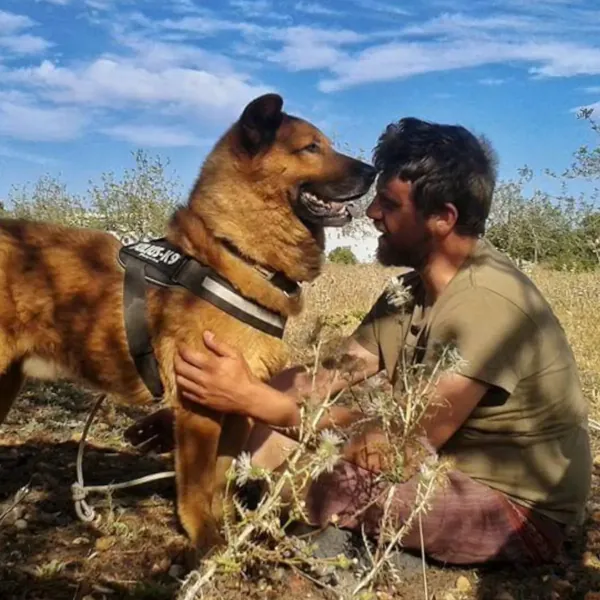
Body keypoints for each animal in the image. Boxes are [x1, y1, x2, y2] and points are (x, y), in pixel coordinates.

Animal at [0, 92, 376, 556]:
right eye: (311, 148)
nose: (374, 171)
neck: (234, 256)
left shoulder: (237, 404)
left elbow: (222, 478)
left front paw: (227, 528)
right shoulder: (199, 409)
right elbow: (197, 484)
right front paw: (205, 540)